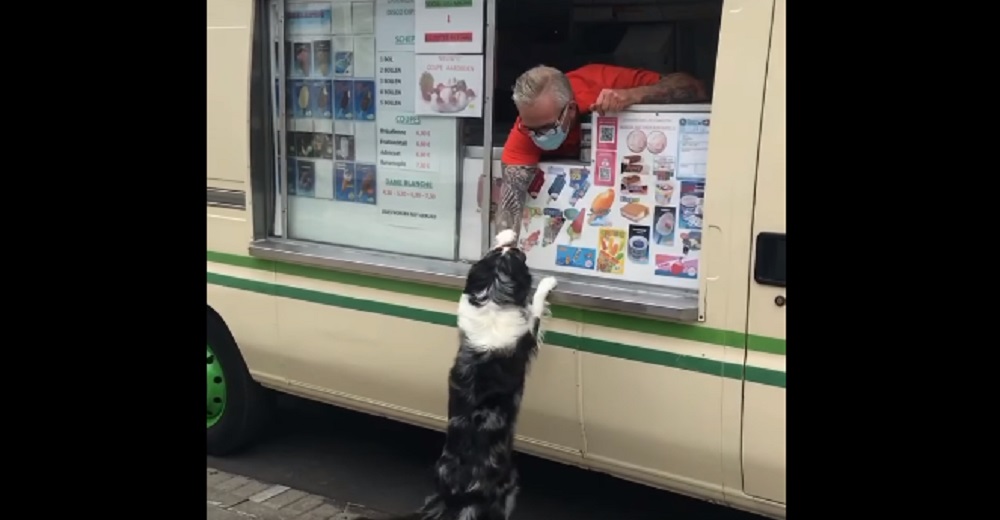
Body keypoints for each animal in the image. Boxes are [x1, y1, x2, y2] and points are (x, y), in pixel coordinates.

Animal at [364, 230, 560, 520]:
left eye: (498, 250)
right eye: (514, 253)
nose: (511, 235)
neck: (492, 299)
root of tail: (453, 495)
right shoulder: (528, 335)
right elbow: (535, 307)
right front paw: (547, 282)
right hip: (510, 483)